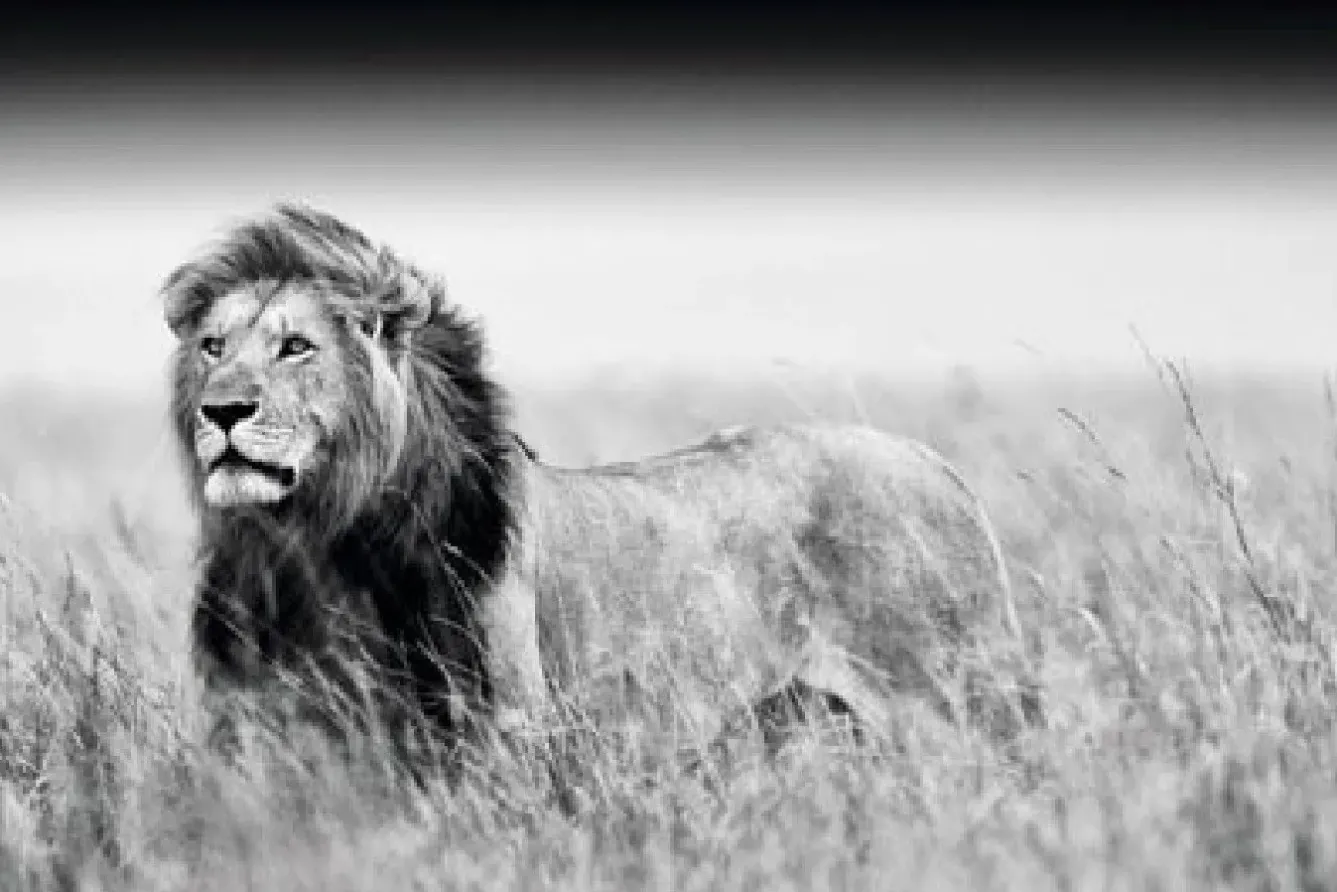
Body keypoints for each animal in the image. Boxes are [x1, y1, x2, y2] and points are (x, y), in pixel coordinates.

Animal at [161, 203, 1038, 769]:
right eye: (212, 347)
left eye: (296, 347)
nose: (222, 411)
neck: (315, 542)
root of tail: (932, 460)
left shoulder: (499, 734)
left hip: (963, 708)